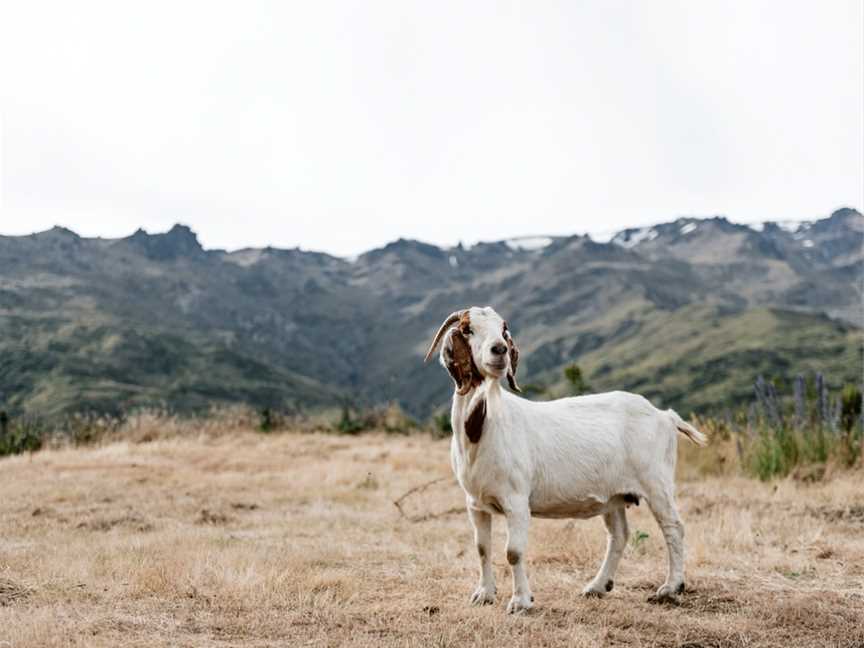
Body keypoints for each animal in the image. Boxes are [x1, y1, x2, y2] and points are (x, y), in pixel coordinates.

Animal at [422, 306, 704, 616]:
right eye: (468, 329)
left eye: (503, 330)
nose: (500, 350)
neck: (484, 428)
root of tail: (664, 415)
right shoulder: (475, 503)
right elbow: (482, 548)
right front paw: (484, 594)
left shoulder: (517, 500)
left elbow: (513, 552)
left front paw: (521, 602)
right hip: (615, 494)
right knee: (619, 535)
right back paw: (597, 586)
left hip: (656, 482)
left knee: (673, 527)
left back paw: (670, 588)